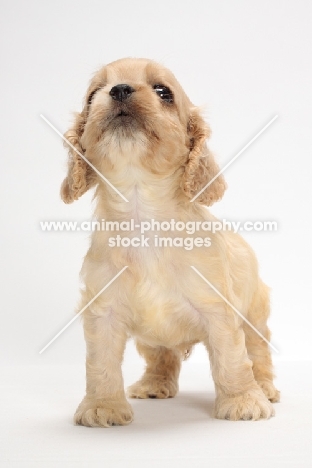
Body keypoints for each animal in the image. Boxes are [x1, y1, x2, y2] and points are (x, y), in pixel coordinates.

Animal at [59, 56, 280, 426]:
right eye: (93, 94)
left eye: (163, 92)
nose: (119, 89)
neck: (144, 214)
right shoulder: (103, 312)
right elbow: (101, 363)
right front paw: (103, 406)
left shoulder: (219, 311)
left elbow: (233, 359)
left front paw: (242, 401)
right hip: (152, 341)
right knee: (162, 357)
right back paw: (154, 384)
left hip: (255, 315)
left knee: (258, 352)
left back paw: (264, 388)